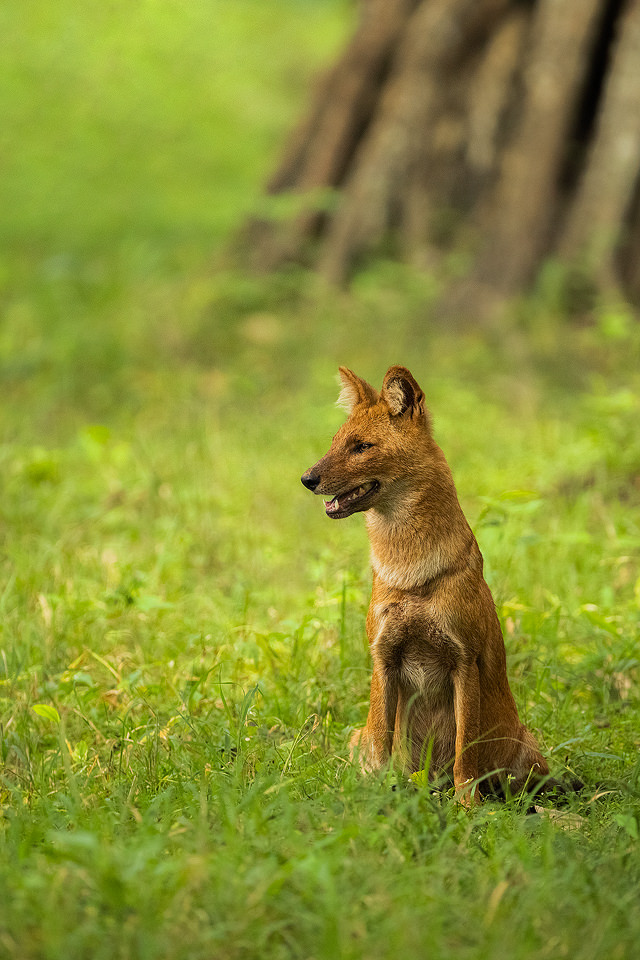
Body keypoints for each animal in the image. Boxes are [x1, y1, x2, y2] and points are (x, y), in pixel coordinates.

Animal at [304, 368, 552, 804]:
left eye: (361, 447)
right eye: (334, 443)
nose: (307, 478)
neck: (410, 571)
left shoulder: (465, 660)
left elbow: (464, 751)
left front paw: (467, 806)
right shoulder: (383, 657)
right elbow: (383, 741)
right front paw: (380, 794)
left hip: (529, 751)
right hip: (355, 738)